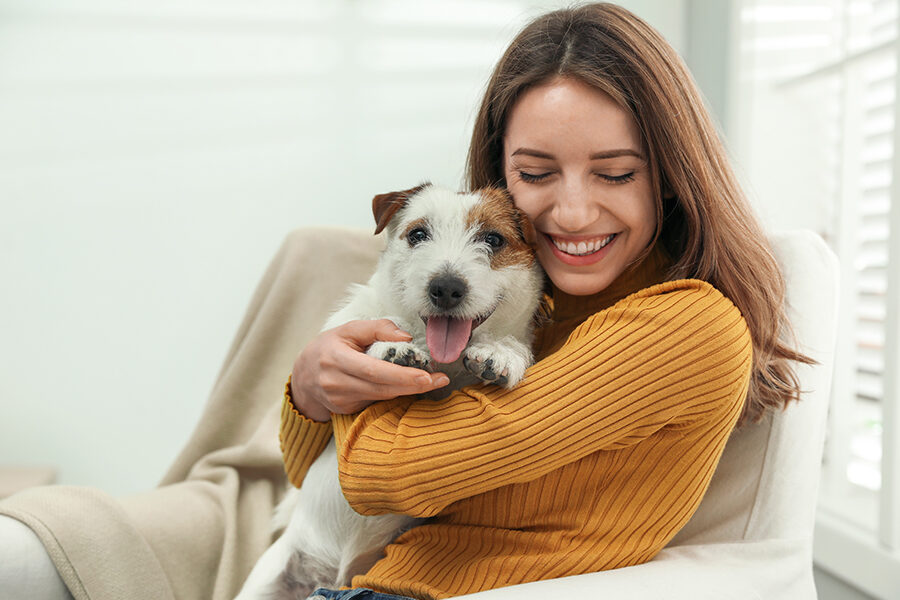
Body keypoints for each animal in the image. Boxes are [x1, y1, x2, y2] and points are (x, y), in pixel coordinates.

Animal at [236, 184, 544, 600]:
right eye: (418, 234)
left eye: (494, 240)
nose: (445, 287)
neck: (444, 362)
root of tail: (329, 575)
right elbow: (378, 323)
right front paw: (393, 347)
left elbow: (510, 345)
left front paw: (501, 352)